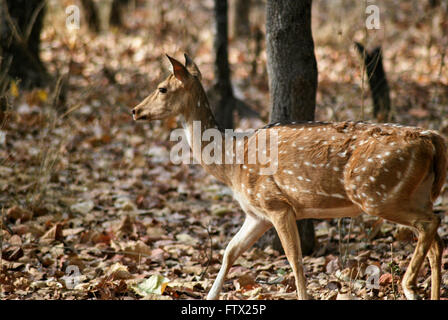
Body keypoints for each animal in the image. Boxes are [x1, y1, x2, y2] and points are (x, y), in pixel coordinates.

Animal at [133, 54, 448, 300]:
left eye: (162, 88)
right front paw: (209, 296)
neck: (231, 164)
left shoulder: (276, 204)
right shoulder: (256, 213)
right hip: (418, 193)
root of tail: (431, 139)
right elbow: (230, 251)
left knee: (430, 224)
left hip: (377, 193)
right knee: (436, 242)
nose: (135, 110)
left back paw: (408, 286)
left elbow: (295, 260)